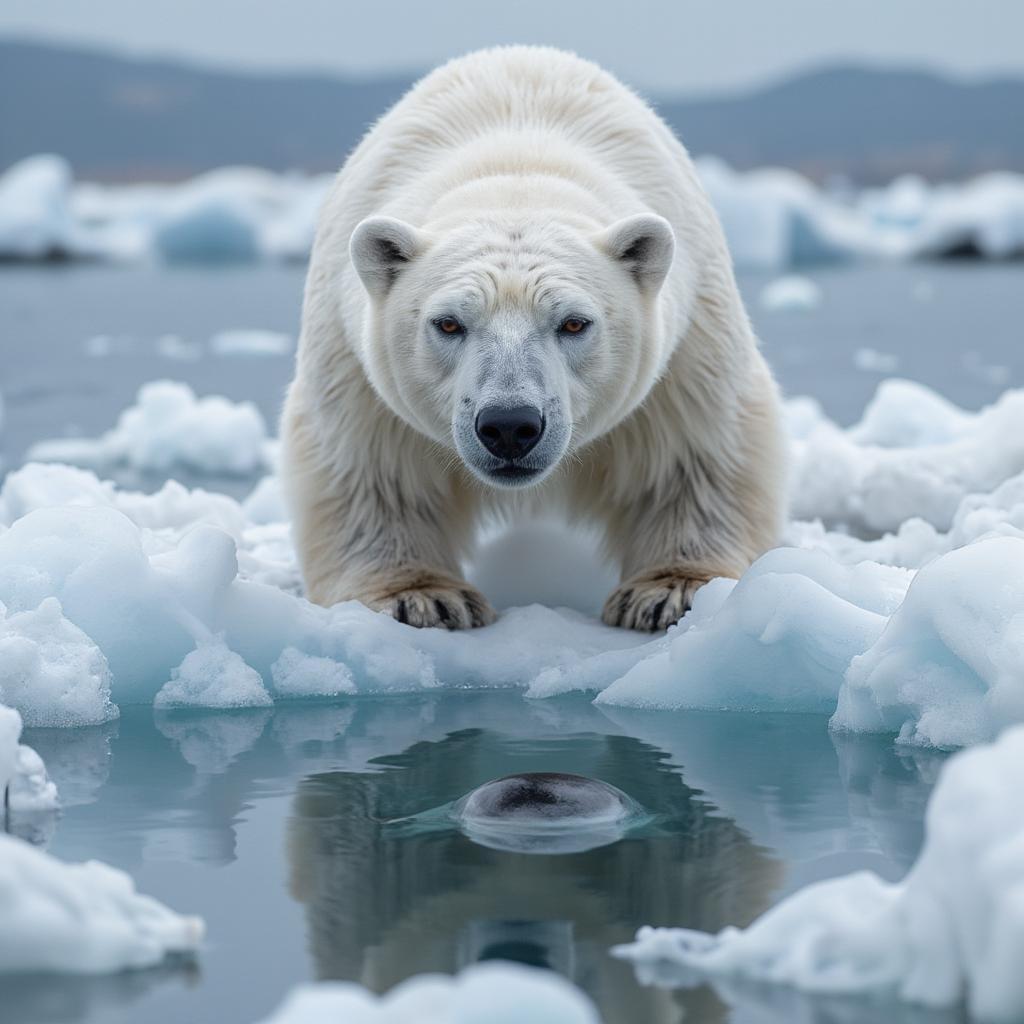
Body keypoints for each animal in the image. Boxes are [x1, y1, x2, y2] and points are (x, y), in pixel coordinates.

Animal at [280, 48, 782, 630]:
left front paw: (671, 590)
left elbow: (692, 454)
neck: (515, 161)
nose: (510, 426)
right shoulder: (352, 364)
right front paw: (422, 598)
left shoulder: (689, 347)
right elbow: (373, 471)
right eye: (448, 323)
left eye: (574, 323)